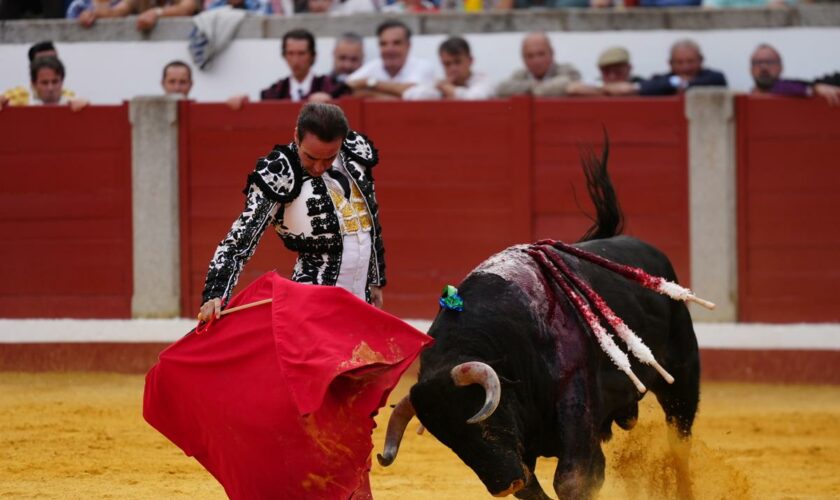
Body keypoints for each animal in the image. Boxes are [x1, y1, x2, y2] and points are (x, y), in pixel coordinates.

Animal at [378, 150, 700, 498]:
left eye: (482, 421)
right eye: (452, 443)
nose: (504, 484)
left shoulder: (575, 398)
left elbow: (572, 479)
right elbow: (533, 486)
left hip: (682, 374)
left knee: (680, 438)